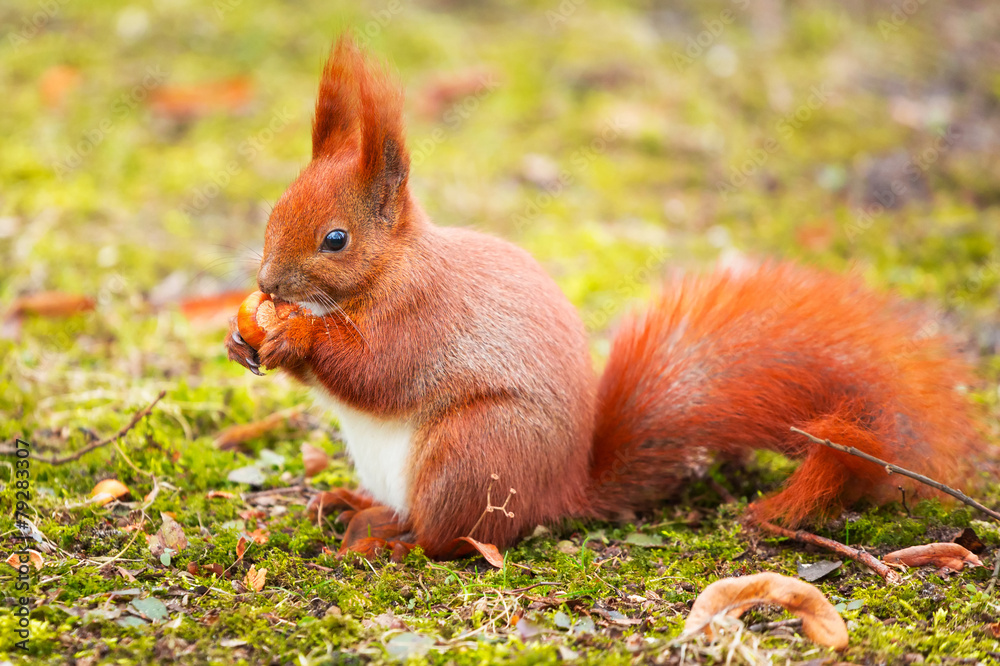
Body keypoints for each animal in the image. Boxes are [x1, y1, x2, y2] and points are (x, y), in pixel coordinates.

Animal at [225, 35, 984, 556]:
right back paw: (353, 504)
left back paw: (391, 541)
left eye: (336, 239)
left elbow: (378, 369)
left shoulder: (426, 317)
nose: (266, 285)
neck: (391, 270)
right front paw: (242, 338)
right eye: (274, 211)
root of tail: (561, 492)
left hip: (471, 454)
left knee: (452, 538)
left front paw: (297, 336)